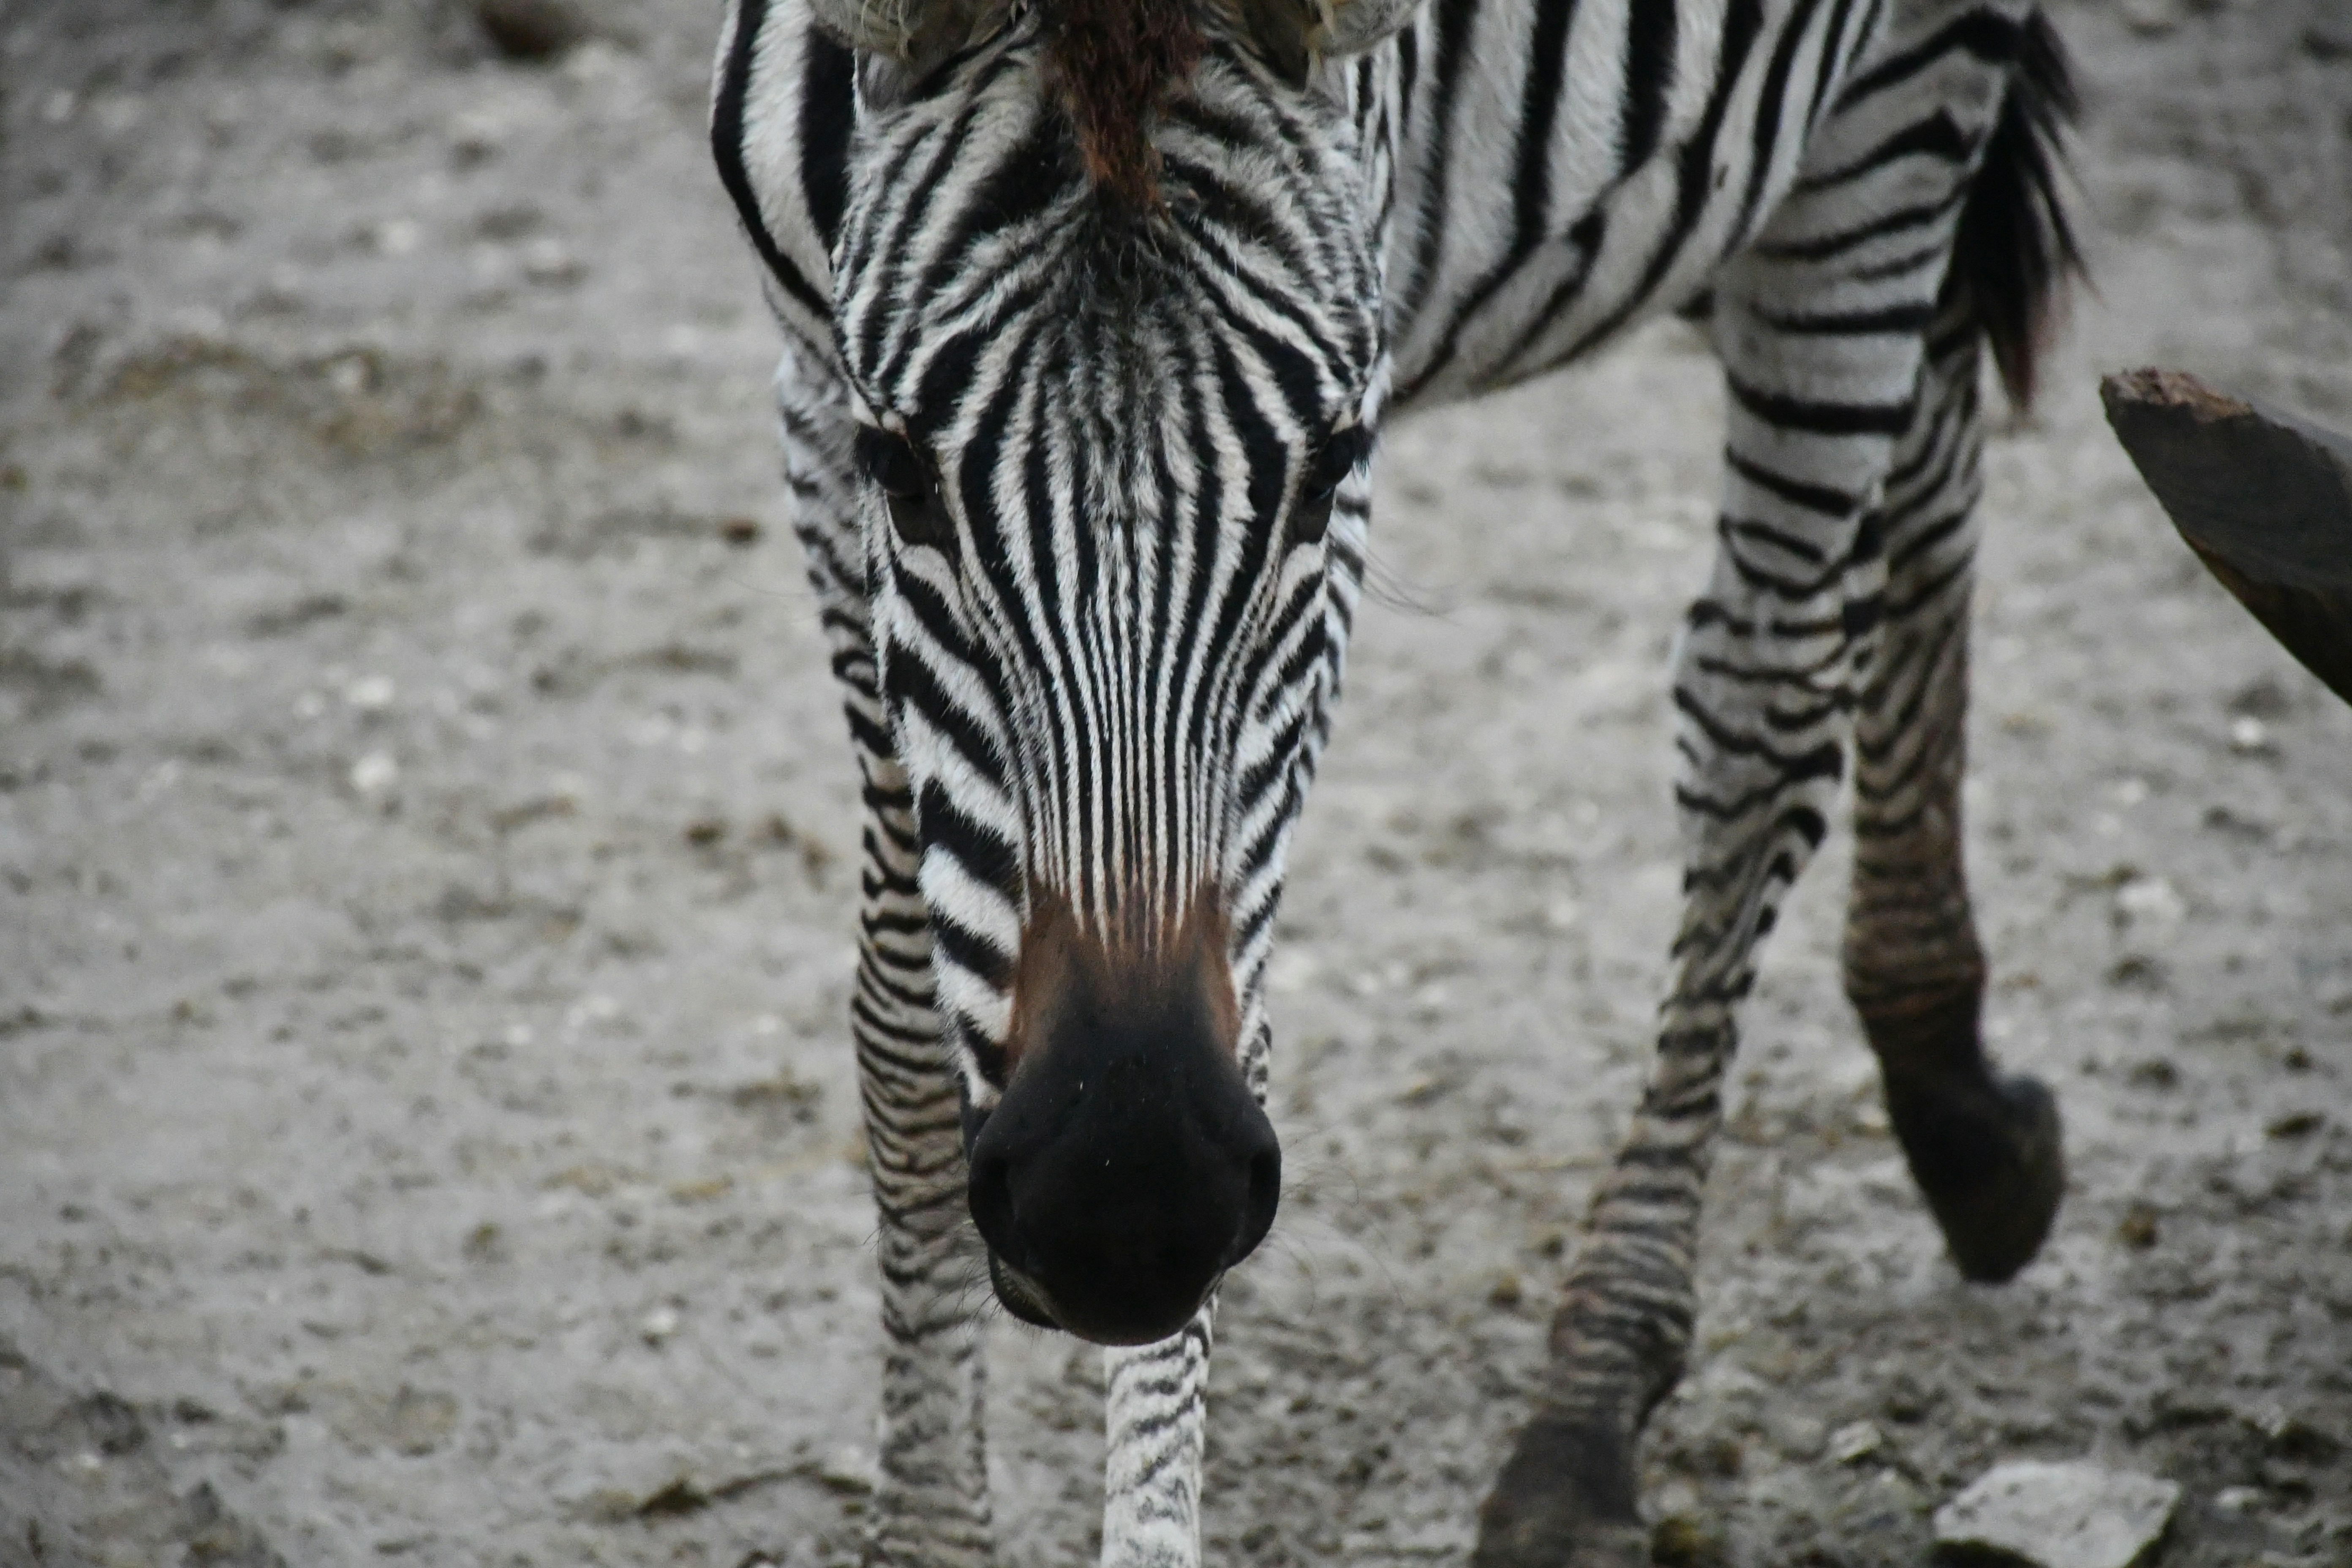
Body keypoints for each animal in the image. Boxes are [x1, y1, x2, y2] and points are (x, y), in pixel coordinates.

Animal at [709, 0, 2080, 1561]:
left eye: (1328, 473)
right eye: (902, 473)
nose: (1123, 1203)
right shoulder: (817, 388)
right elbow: (896, 1021)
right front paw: (933, 1520)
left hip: (1888, 111)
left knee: (1767, 696)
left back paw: (1591, 1401)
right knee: (1936, 424)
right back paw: (1956, 1098)